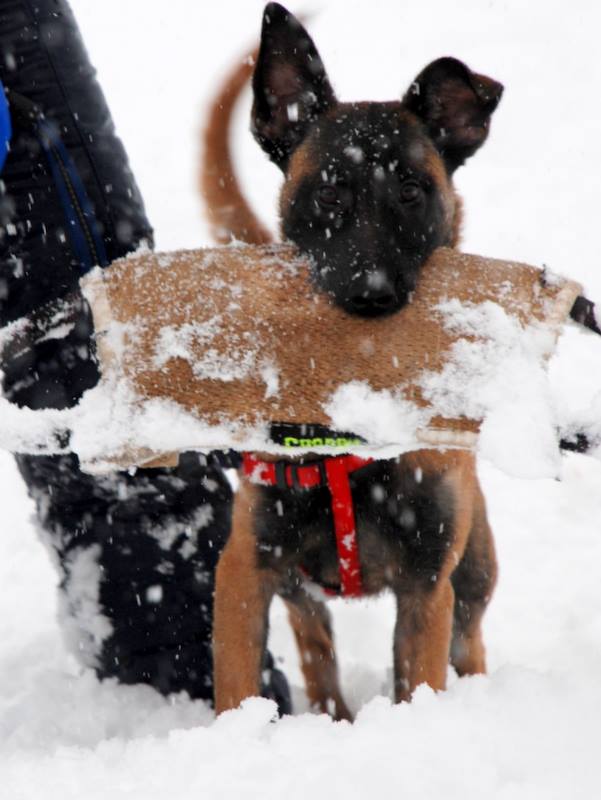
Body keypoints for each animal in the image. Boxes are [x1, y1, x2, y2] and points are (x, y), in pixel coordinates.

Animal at [210, 2, 503, 720]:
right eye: (328, 192)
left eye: (411, 190)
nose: (371, 293)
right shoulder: (246, 569)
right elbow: (236, 687)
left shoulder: (427, 584)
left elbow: (419, 679)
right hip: (299, 589)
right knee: (317, 650)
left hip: (474, 570)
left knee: (470, 640)